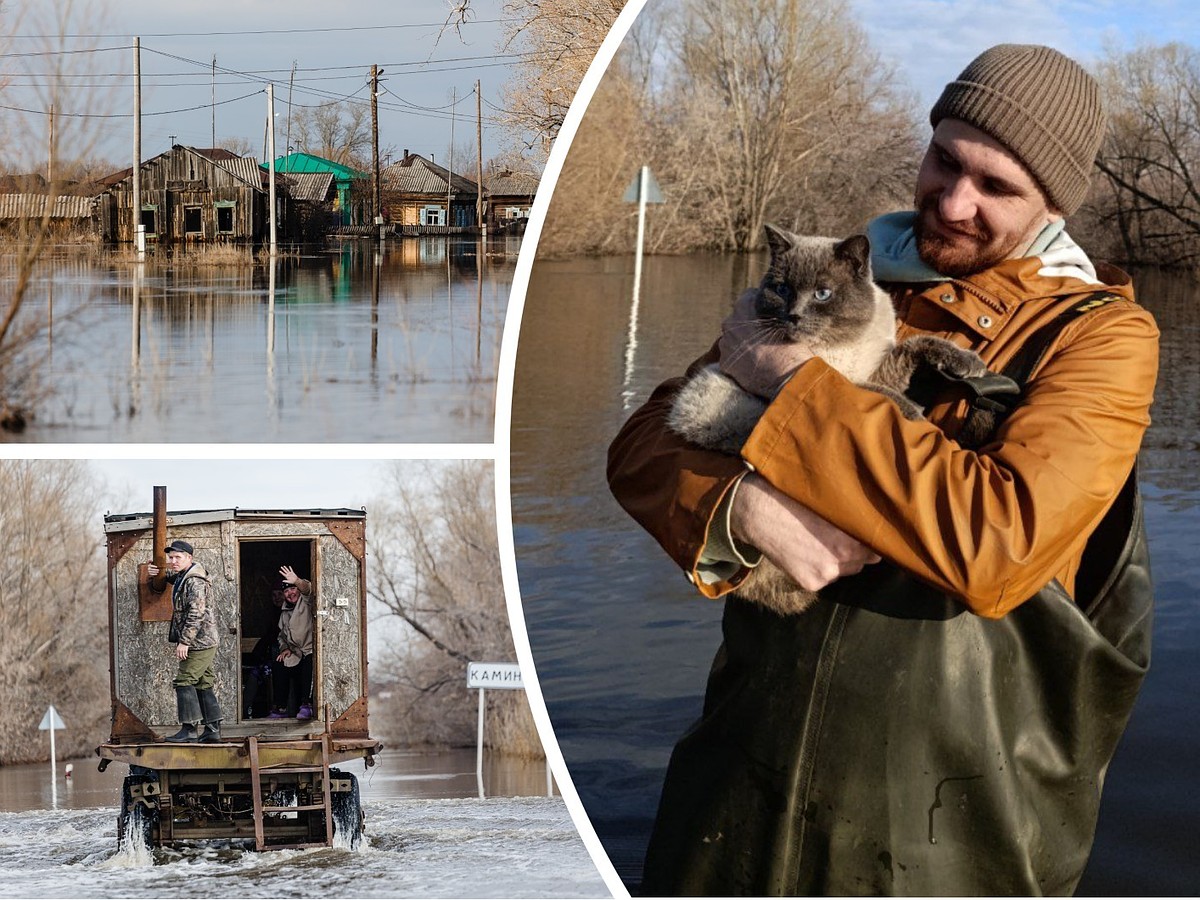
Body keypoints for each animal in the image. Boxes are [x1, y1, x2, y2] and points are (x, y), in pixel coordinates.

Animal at [672, 225, 998, 619]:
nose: (794, 316)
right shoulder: (839, 377)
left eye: (822, 293)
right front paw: (914, 410)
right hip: (714, 400)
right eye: (782, 289)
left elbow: (917, 344)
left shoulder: (883, 367)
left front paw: (970, 362)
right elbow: (861, 390)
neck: (843, 345)